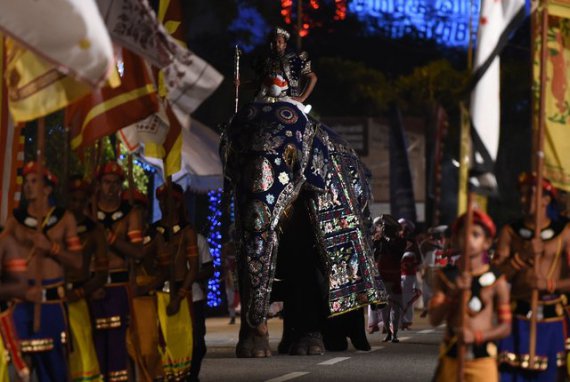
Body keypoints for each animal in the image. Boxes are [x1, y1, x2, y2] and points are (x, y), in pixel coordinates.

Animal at [219, 99, 386, 358]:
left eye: (291, 158)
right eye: (233, 157)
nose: (258, 319)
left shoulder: (314, 192)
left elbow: (305, 260)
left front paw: (309, 351)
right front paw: (252, 353)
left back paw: (337, 345)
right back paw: (287, 346)